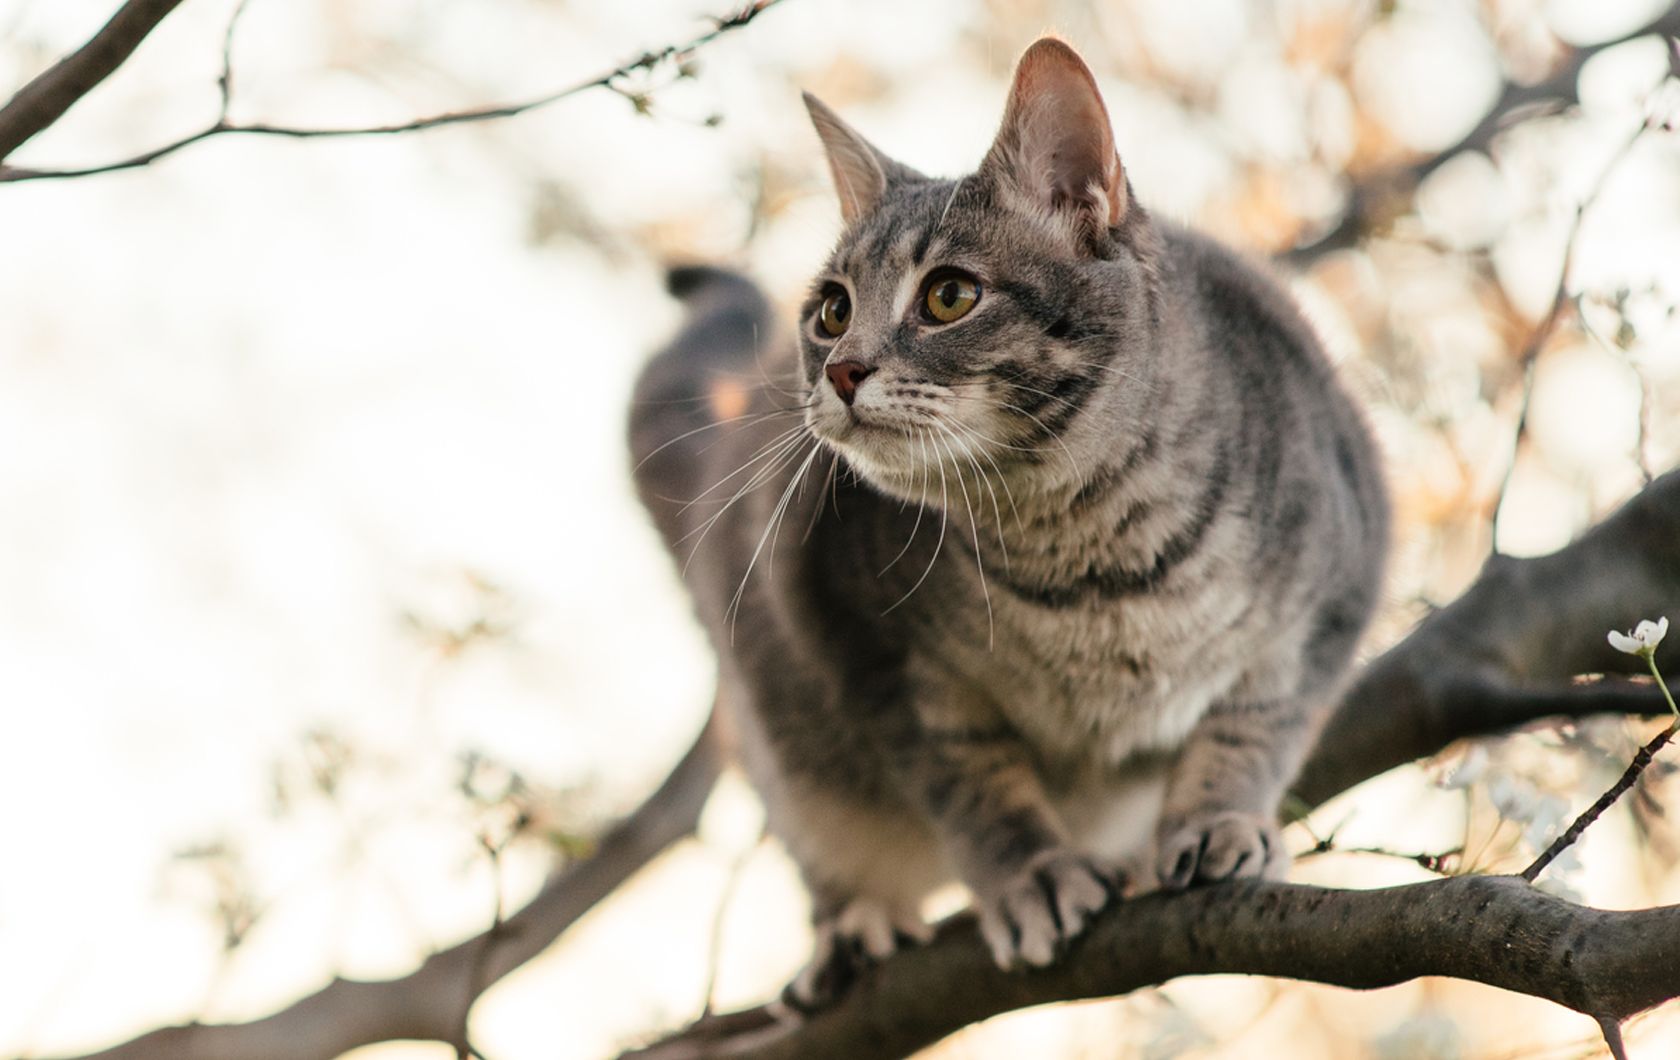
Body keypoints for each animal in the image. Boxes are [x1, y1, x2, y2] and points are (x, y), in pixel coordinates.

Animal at [631, 37, 1391, 1007]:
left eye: (949, 296)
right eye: (833, 310)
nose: (840, 368)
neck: (1091, 562)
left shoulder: (1333, 596)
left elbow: (1254, 728)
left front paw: (1220, 818)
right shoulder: (876, 660)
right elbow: (976, 789)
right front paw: (1033, 875)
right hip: (783, 745)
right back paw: (851, 930)